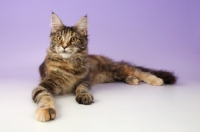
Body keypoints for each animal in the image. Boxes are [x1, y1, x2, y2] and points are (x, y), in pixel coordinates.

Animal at [31, 12, 177, 121]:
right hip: (112, 74)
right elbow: (45, 96)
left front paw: (84, 96)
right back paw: (132, 80)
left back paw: (156, 80)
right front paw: (46, 110)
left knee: (137, 70)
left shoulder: (84, 80)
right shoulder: (44, 85)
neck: (69, 63)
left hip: (115, 68)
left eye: (73, 39)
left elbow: (81, 88)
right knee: (126, 75)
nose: (64, 46)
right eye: (59, 38)